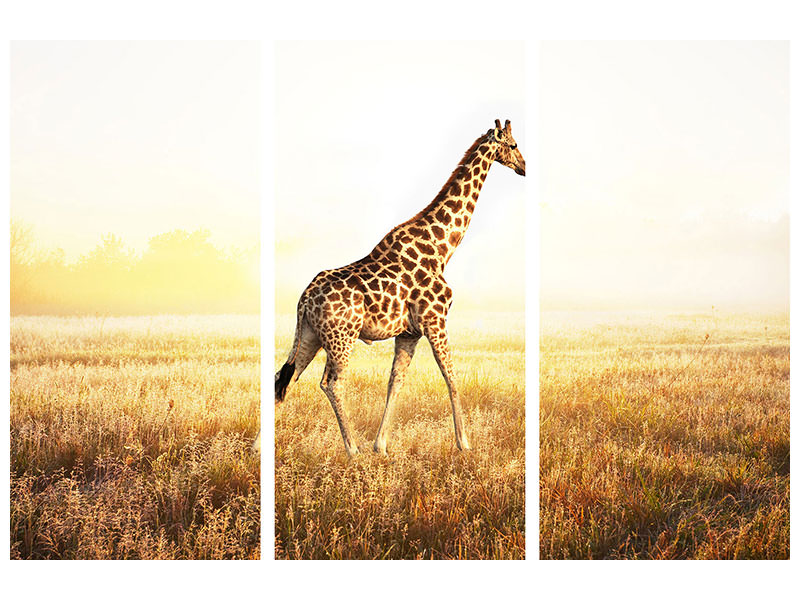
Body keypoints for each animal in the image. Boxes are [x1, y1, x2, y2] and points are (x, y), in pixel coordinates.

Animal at [276, 119, 525, 457]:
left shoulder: (409, 333)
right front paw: (464, 443)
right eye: (513, 145)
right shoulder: (436, 321)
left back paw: (260, 449)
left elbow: (395, 381)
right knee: (331, 382)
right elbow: (451, 376)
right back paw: (351, 449)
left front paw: (381, 445)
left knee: (284, 377)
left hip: (310, 335)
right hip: (342, 337)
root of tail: (304, 299)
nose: (523, 167)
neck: (441, 247)